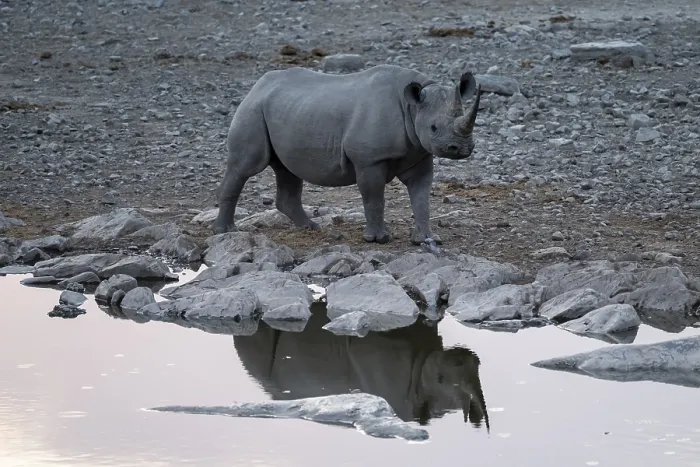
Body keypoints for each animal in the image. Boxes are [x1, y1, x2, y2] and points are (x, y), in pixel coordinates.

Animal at [213, 64, 482, 245]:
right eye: (434, 128)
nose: (461, 148)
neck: (412, 107)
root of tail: (257, 86)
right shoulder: (369, 159)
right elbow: (374, 198)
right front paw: (378, 239)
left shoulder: (419, 153)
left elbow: (421, 197)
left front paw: (427, 239)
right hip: (253, 110)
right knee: (245, 167)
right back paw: (225, 231)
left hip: (288, 110)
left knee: (288, 169)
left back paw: (311, 228)